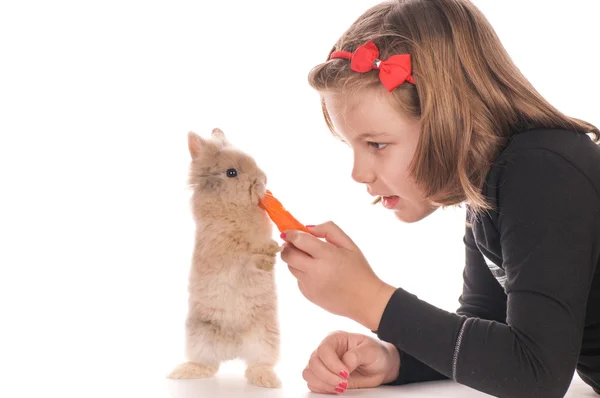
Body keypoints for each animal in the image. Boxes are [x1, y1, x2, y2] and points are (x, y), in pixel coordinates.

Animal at [168, 128, 282, 388]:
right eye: (231, 173)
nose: (263, 179)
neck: (234, 209)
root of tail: (233, 347)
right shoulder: (225, 250)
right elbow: (247, 257)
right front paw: (269, 253)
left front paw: (273, 252)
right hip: (199, 337)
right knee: (207, 365)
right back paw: (182, 372)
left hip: (264, 337)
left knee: (258, 364)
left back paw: (267, 380)